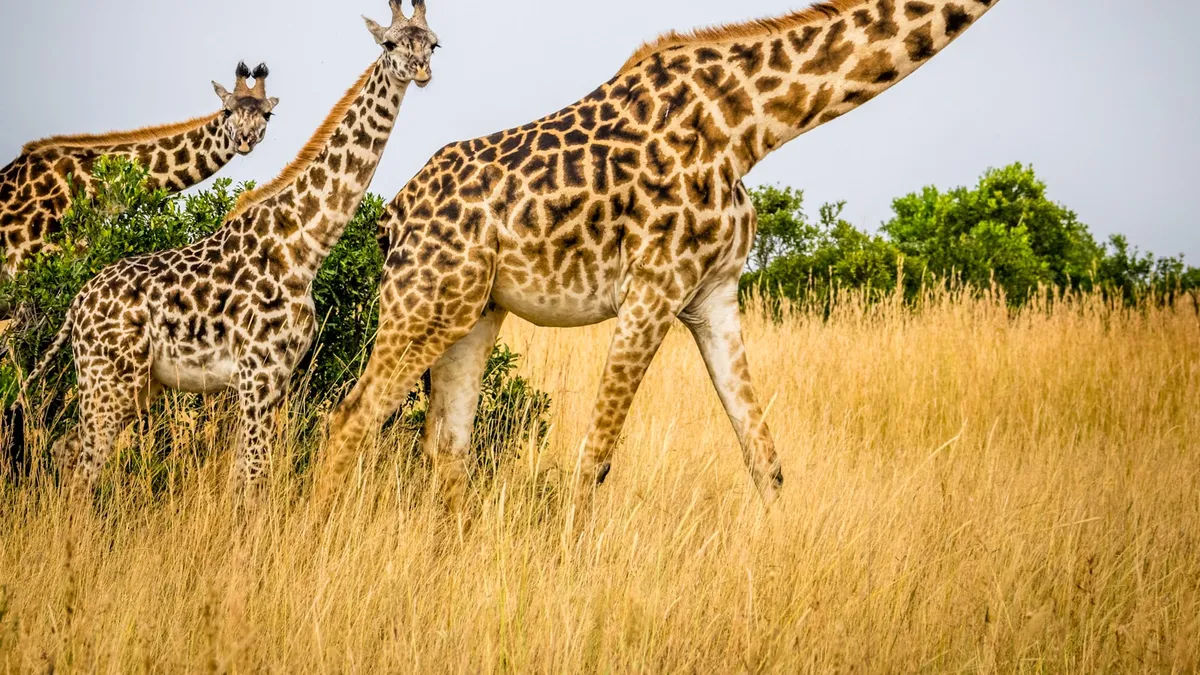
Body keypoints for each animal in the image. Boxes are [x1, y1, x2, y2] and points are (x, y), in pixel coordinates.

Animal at [319, 0, 1001, 511]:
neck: (751, 127)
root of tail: (389, 217)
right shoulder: (652, 288)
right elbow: (594, 459)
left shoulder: (714, 296)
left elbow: (764, 459)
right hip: (422, 305)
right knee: (349, 417)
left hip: (473, 311)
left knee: (449, 442)